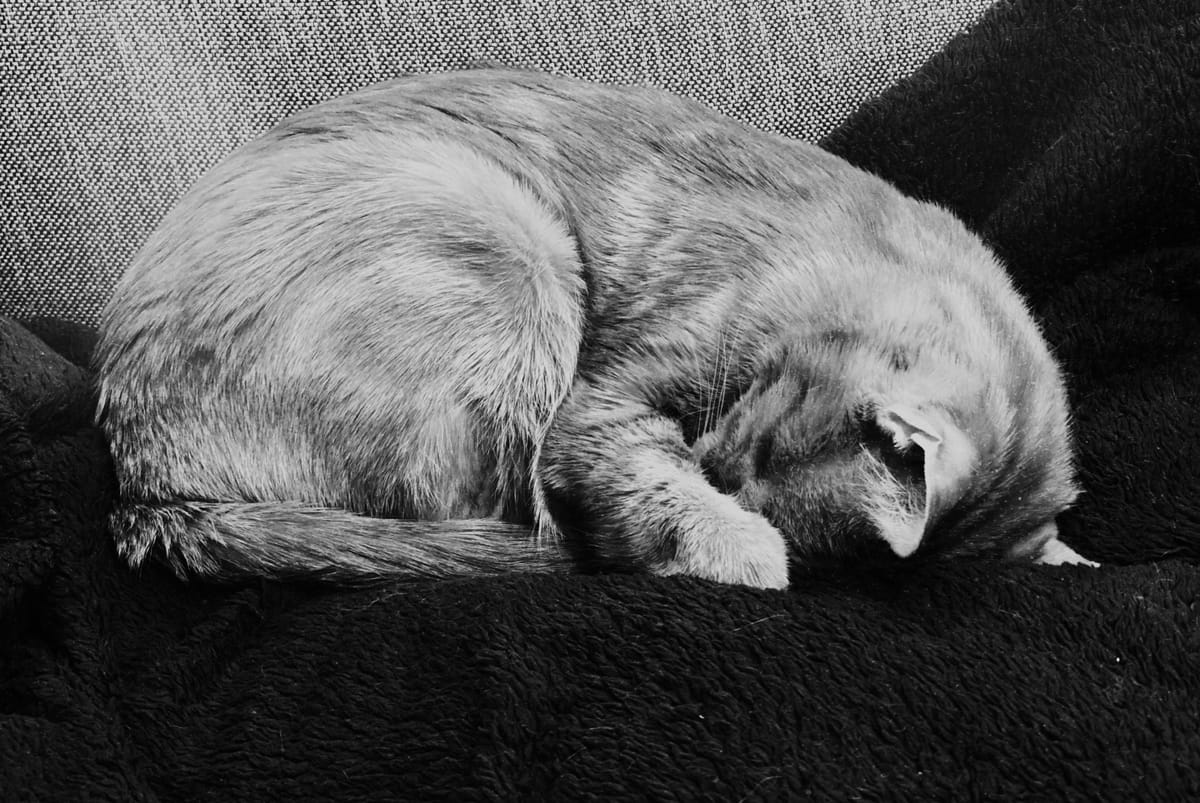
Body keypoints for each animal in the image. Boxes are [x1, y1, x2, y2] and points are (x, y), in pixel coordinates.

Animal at [93, 67, 1099, 588]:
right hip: (514, 263)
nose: (714, 460)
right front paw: (735, 545)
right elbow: (671, 500)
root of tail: (149, 490)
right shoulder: (603, 408)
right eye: (756, 456)